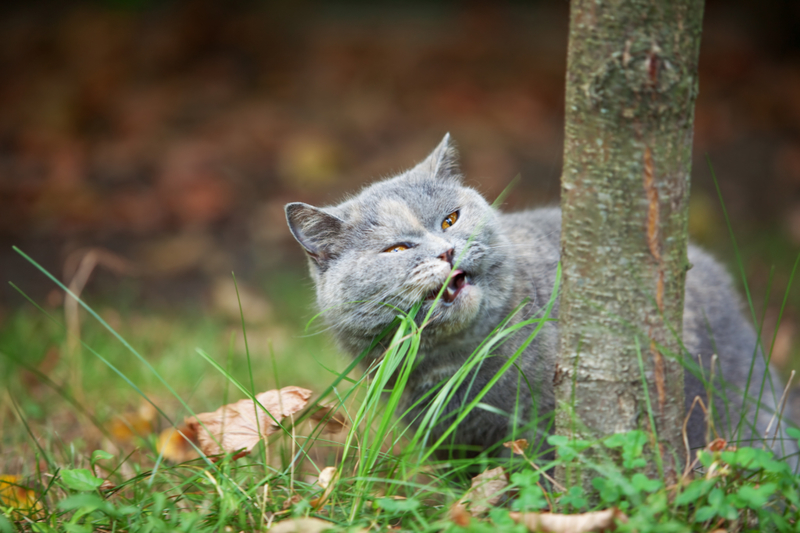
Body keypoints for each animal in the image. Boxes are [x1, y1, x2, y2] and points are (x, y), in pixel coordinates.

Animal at [284, 134, 796, 462]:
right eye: (397, 249)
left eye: (450, 219)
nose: (446, 251)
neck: (459, 365)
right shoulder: (451, 445)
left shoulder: (544, 429)